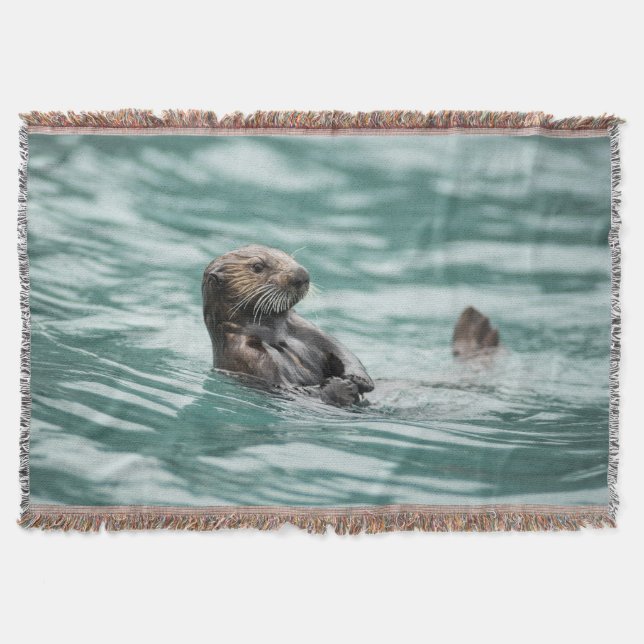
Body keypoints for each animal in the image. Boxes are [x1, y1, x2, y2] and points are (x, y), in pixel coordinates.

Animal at [202, 245, 498, 406]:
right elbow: (292, 389)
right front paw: (341, 388)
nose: (301, 274)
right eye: (257, 266)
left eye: (287, 256)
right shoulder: (248, 357)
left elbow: (340, 349)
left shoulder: (304, 327)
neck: (275, 335)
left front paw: (359, 379)